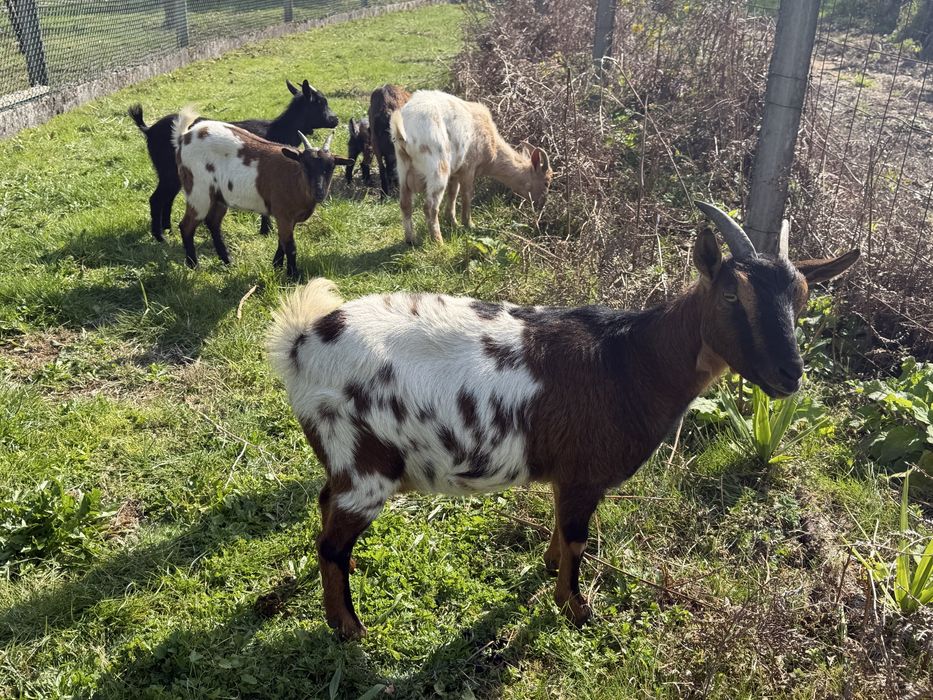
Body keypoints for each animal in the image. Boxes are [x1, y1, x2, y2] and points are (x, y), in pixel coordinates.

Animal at [128, 79, 338, 241]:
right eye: (320, 103)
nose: (335, 120)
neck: (278, 130)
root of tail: (149, 129)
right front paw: (266, 231)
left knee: (167, 198)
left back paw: (167, 230)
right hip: (169, 172)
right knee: (156, 199)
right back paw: (160, 237)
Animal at [173, 107, 352, 277]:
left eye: (331, 167)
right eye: (305, 165)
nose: (319, 192)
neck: (296, 180)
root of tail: (185, 137)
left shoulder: (288, 218)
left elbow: (282, 242)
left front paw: (277, 265)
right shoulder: (284, 214)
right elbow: (290, 246)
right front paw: (293, 276)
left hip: (218, 196)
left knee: (213, 223)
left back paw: (228, 261)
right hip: (198, 192)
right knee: (186, 225)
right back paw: (194, 265)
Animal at [266, 201, 860, 639]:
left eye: (804, 297)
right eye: (732, 293)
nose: (789, 375)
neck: (630, 361)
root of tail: (302, 342)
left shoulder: (566, 475)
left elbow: (560, 531)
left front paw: (551, 572)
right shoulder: (584, 473)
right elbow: (577, 538)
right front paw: (576, 608)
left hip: (343, 459)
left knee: (324, 505)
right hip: (366, 465)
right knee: (331, 543)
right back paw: (348, 627)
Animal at [390, 89, 552, 244]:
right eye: (546, 182)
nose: (542, 205)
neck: (492, 147)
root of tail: (404, 132)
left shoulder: (455, 171)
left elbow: (453, 193)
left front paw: (452, 222)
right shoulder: (468, 167)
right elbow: (467, 194)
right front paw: (468, 224)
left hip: (402, 168)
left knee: (405, 203)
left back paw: (411, 240)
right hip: (437, 166)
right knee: (429, 207)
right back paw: (438, 242)